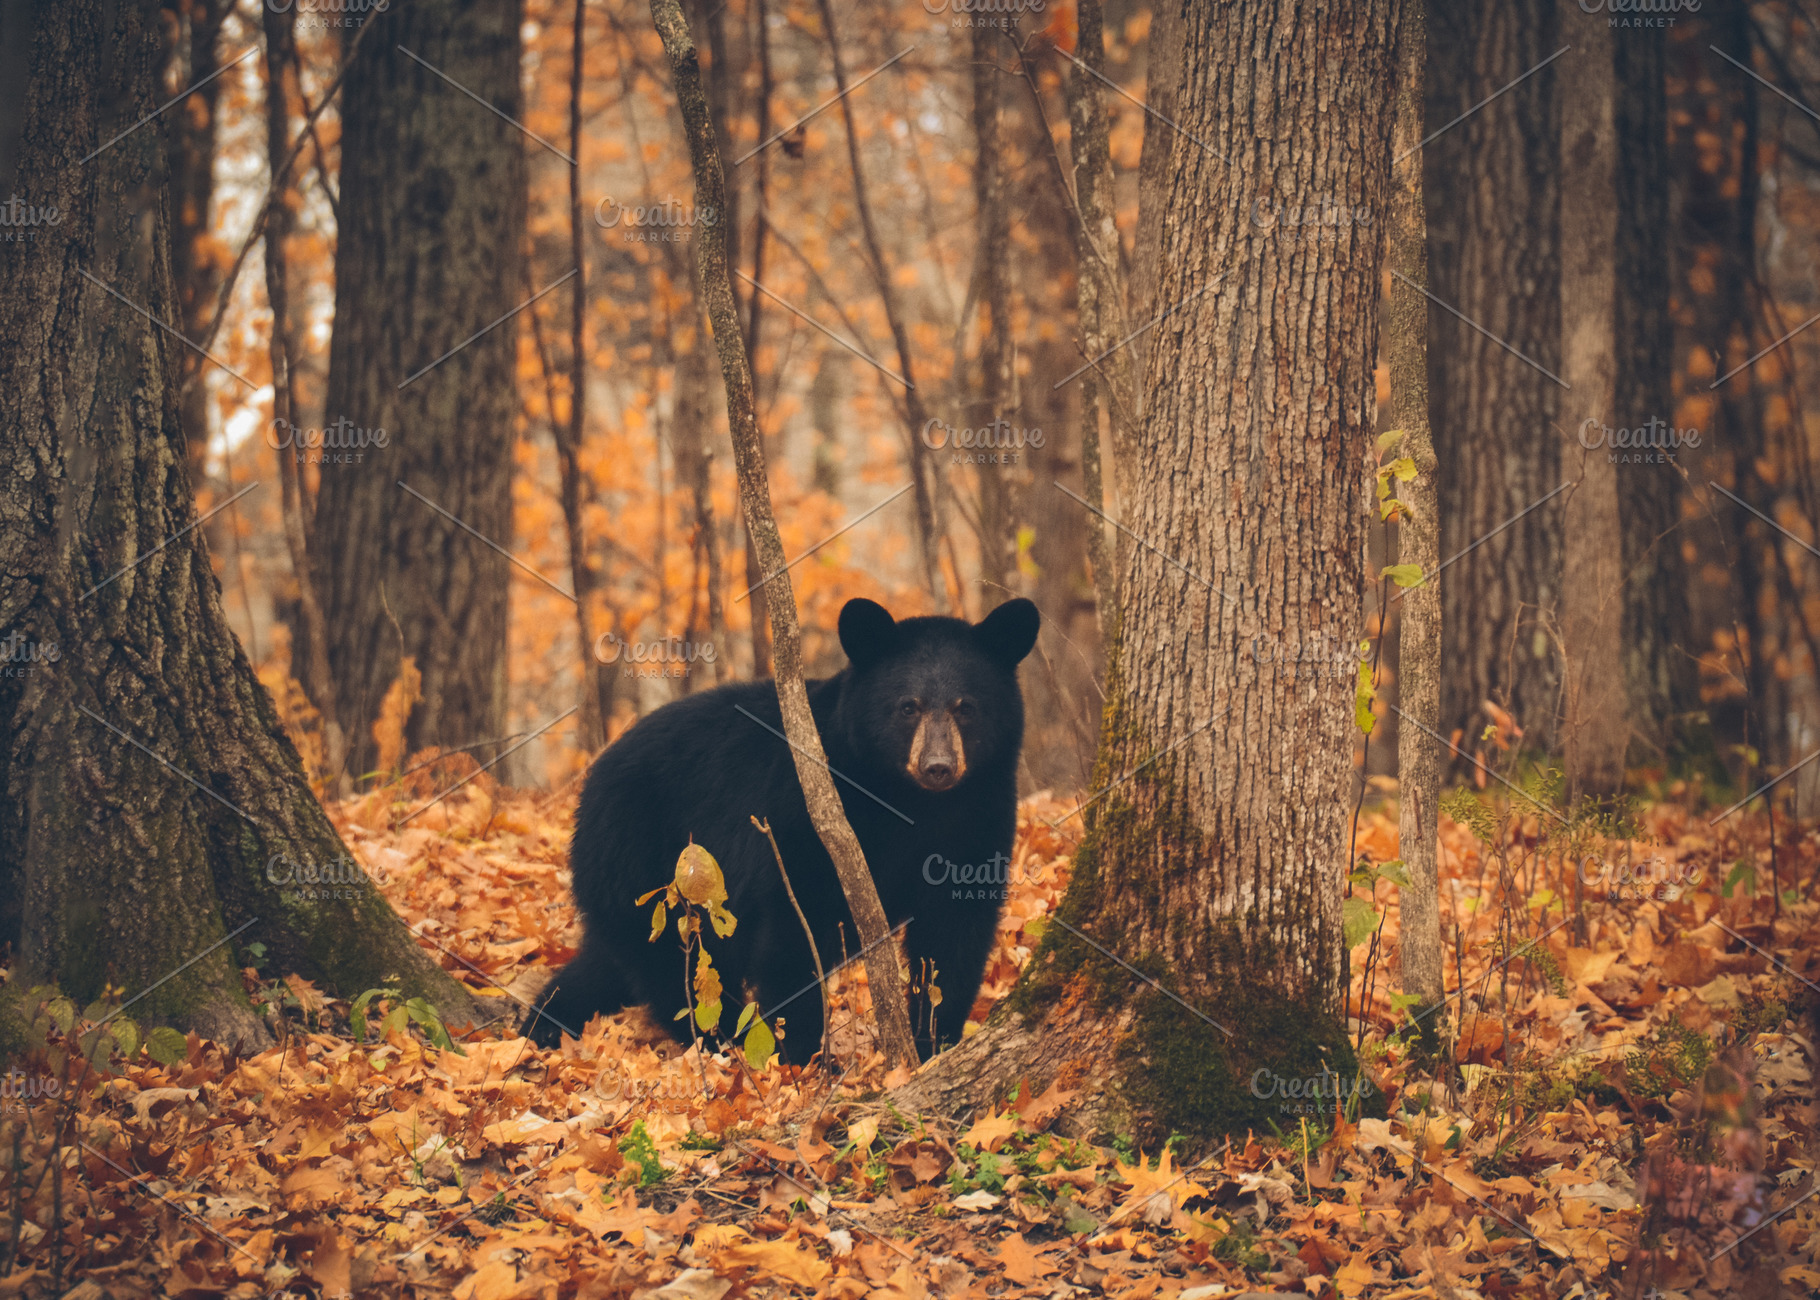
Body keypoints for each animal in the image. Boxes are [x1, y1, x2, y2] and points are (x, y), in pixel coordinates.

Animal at [528, 596, 1040, 1063]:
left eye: (965, 707)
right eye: (908, 707)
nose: (938, 766)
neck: (911, 802)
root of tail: (587, 787)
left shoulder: (979, 815)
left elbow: (955, 930)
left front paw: (934, 1040)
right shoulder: (807, 811)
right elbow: (795, 924)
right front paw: (799, 1053)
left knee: (607, 964)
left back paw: (544, 1021)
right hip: (647, 867)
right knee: (677, 968)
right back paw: (722, 1040)